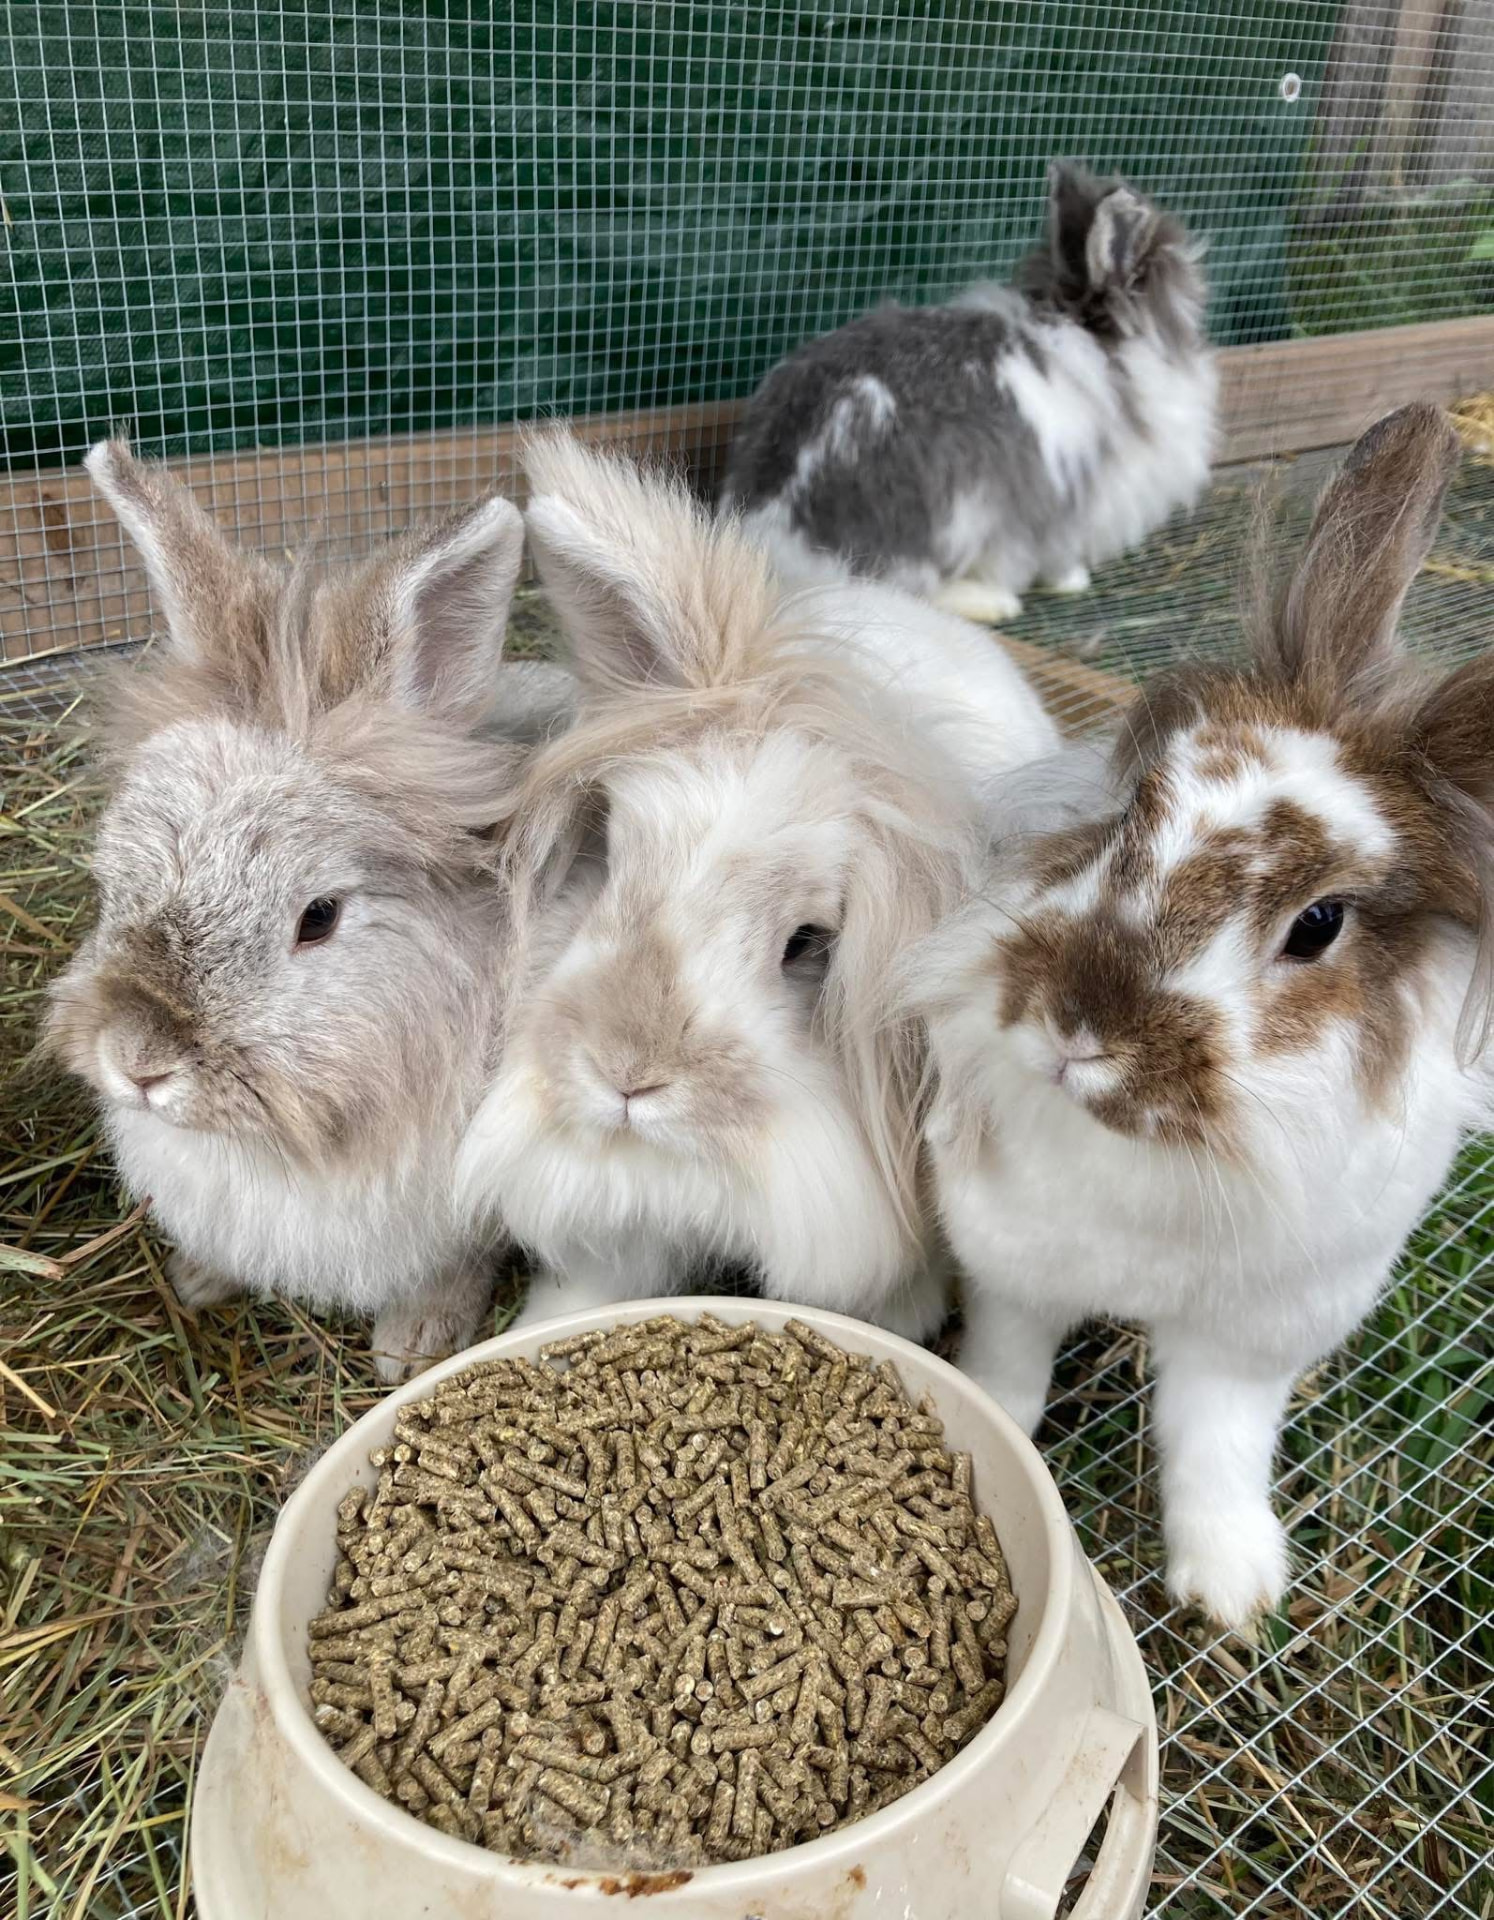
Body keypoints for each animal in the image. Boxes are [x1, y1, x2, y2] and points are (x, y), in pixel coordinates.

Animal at [46, 441, 540, 1382]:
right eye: (111, 878)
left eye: (319, 917)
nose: (137, 1064)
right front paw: (198, 1280)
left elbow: (452, 1269)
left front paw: (411, 1348)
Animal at [907, 402, 1494, 1630]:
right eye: (1133, 812)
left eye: (1318, 924)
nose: (1079, 1029)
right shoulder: (1013, 1266)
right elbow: (1010, 1371)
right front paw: (995, 1435)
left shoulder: (1258, 1332)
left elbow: (1217, 1444)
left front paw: (1234, 1591)